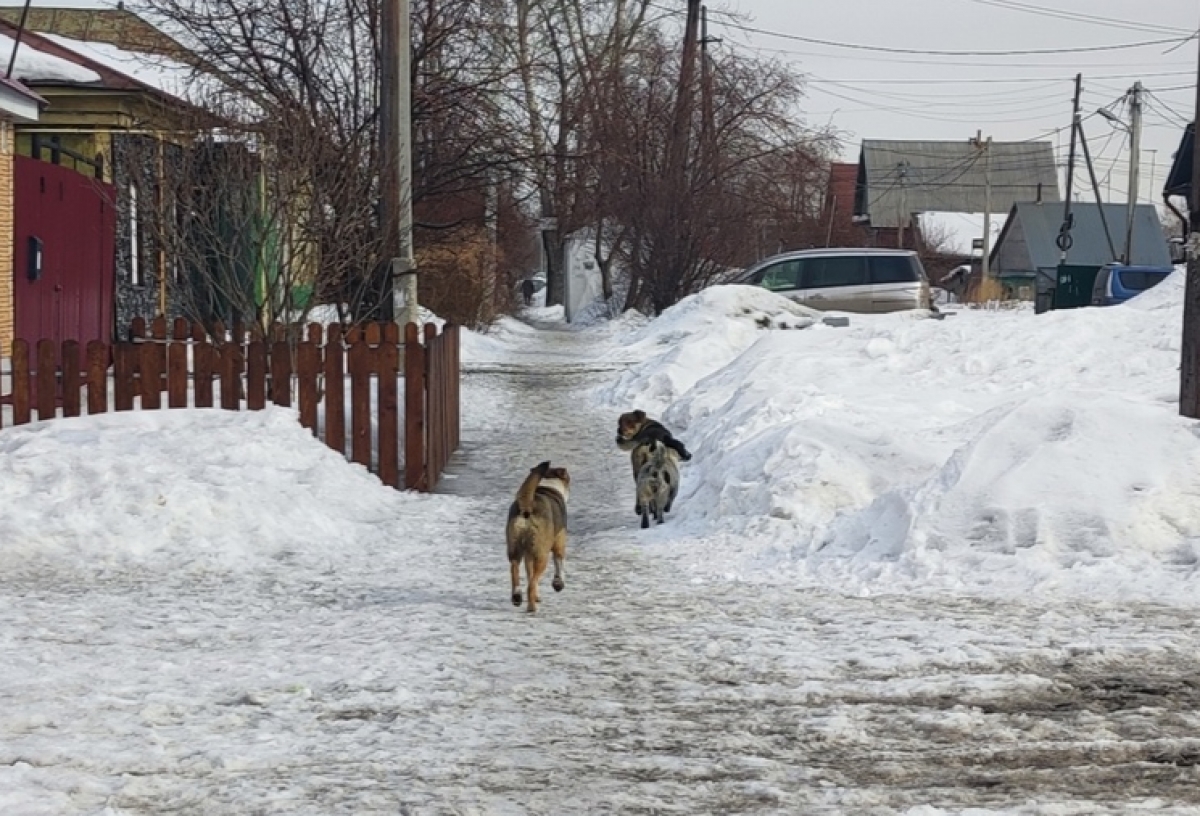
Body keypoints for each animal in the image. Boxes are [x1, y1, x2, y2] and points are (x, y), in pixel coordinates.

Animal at [506, 458, 571, 612]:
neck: (549, 484)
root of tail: (527, 507)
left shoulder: (529, 556)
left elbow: (529, 574)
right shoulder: (559, 541)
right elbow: (559, 563)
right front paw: (558, 584)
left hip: (515, 547)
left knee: (515, 570)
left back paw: (517, 596)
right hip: (542, 554)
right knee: (531, 584)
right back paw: (532, 608)